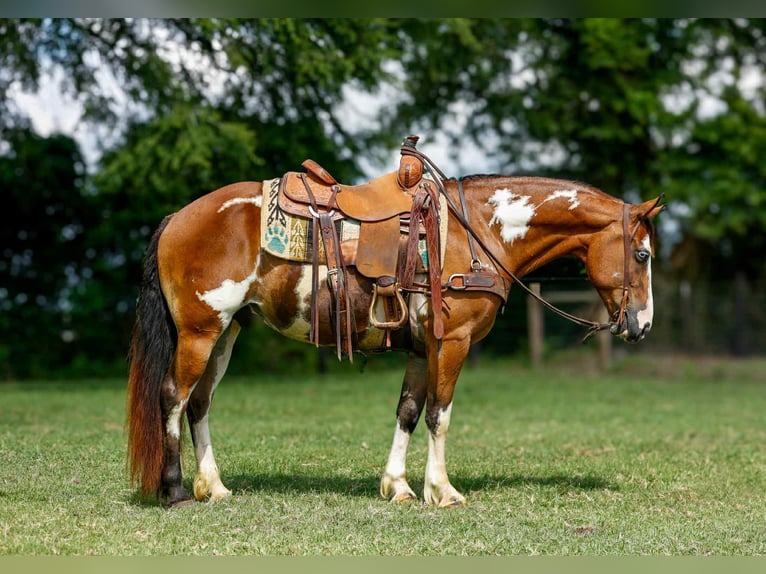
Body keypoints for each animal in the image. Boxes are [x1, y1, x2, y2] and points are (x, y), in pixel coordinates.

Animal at [126, 161, 663, 508]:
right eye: (642, 255)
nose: (642, 325)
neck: (476, 232)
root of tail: (177, 217)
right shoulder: (452, 341)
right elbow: (439, 415)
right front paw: (442, 491)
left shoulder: (423, 348)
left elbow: (407, 412)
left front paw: (398, 486)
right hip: (200, 331)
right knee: (172, 397)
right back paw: (175, 491)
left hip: (226, 333)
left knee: (199, 404)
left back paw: (214, 487)